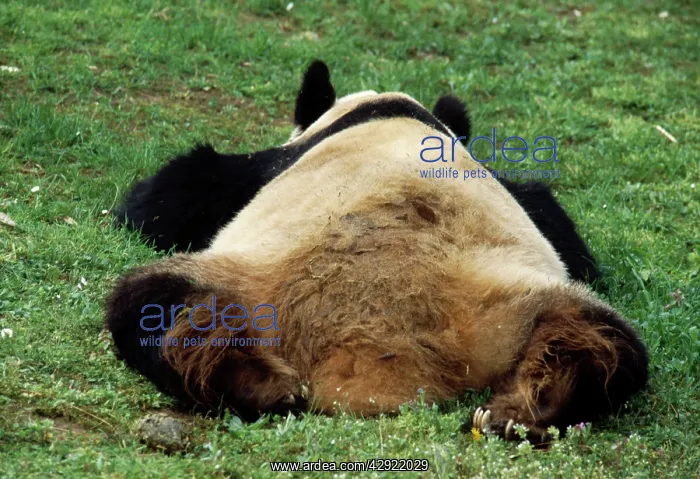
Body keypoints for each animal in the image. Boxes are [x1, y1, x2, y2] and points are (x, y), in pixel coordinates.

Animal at [106, 60, 648, 443]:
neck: (388, 110)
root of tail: (372, 361)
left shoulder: (263, 167)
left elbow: (171, 195)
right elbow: (562, 230)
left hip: (255, 280)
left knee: (148, 305)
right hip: (505, 302)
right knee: (603, 339)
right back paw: (527, 407)